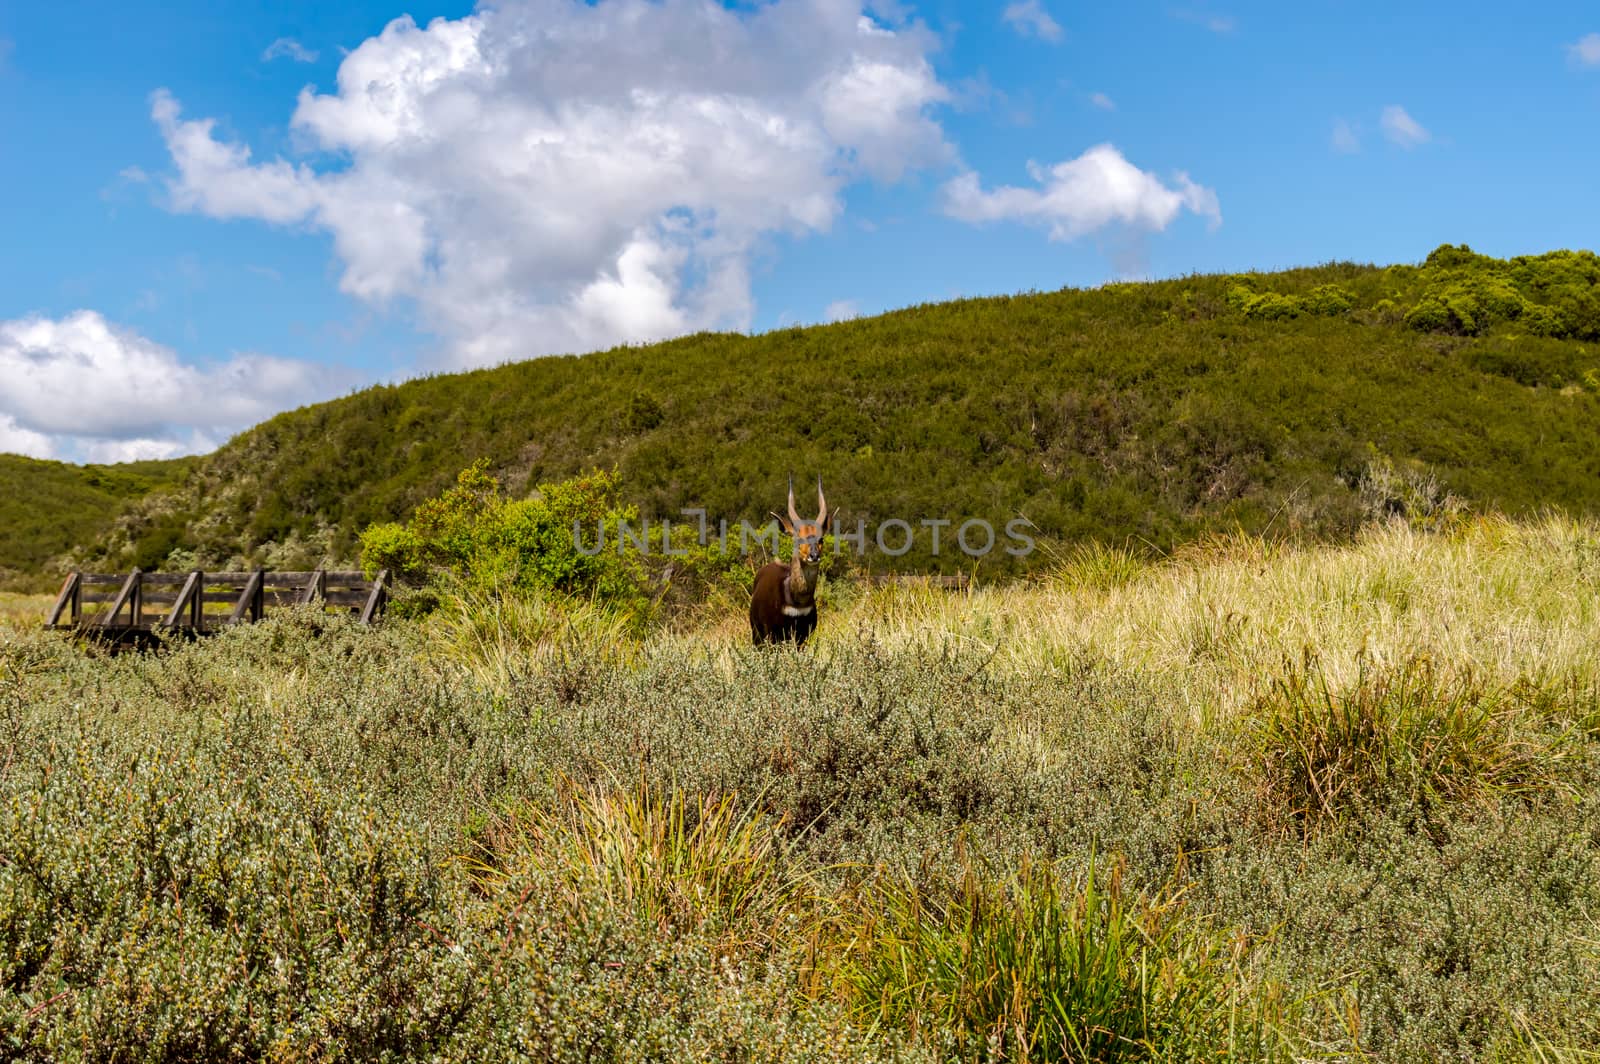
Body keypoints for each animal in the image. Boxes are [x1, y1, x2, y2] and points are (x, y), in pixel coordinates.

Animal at [752, 473, 838, 646]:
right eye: (799, 539)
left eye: (821, 539)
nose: (814, 556)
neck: (796, 603)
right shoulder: (773, 635)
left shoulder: (803, 637)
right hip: (757, 635)